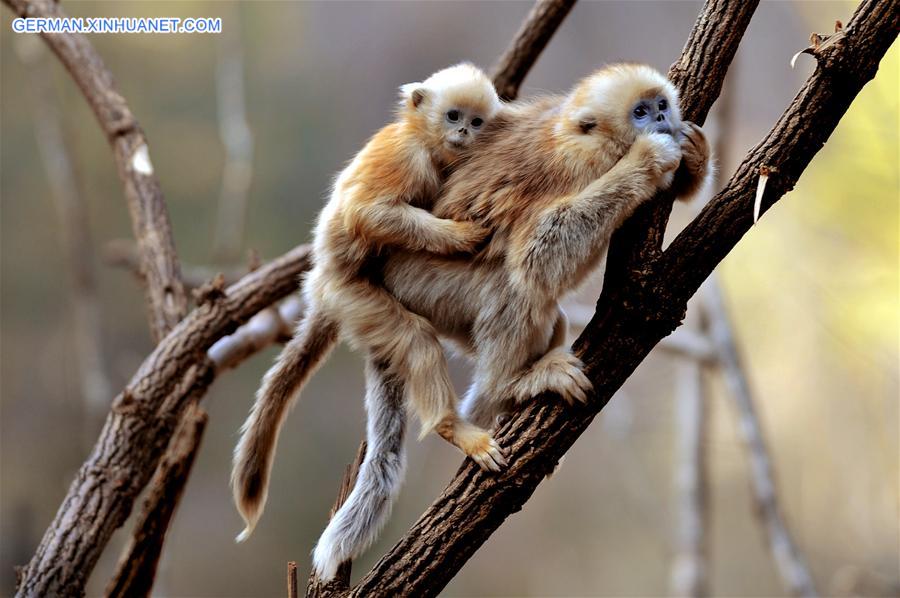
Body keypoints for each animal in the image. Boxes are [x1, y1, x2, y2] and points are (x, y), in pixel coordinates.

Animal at [230, 64, 506, 548]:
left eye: (475, 122)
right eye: (453, 116)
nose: (462, 134)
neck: (428, 145)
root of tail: (320, 285)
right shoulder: (405, 158)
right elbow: (368, 213)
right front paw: (460, 235)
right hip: (353, 298)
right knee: (415, 339)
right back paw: (453, 428)